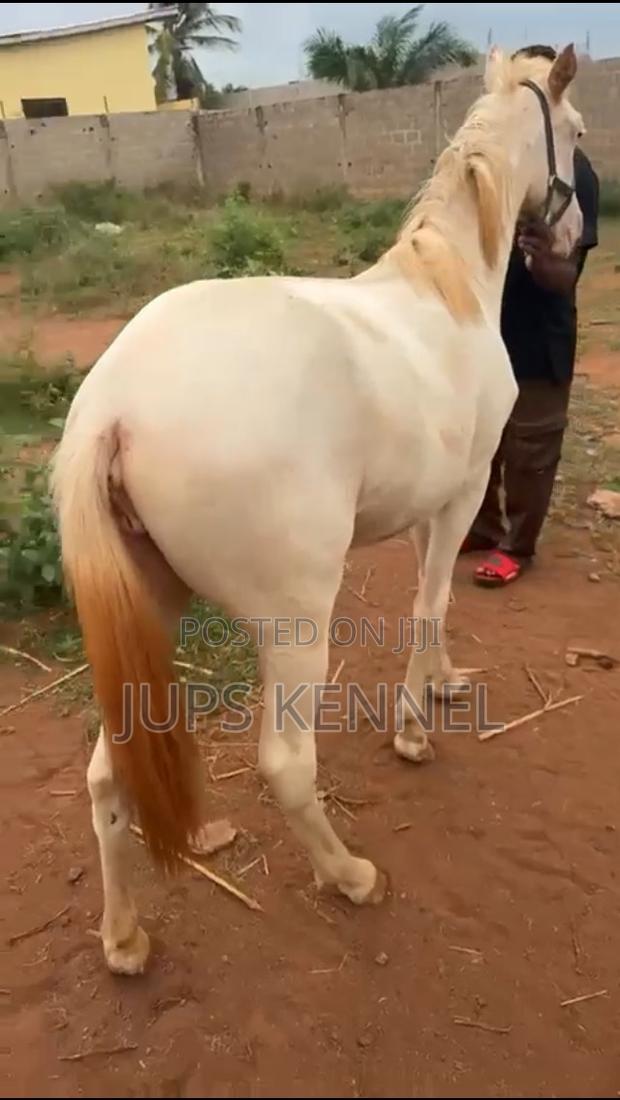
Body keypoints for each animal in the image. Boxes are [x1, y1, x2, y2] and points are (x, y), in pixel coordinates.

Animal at [51, 45, 584, 975]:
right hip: (296, 625)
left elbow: (432, 602)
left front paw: (443, 684)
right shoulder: (462, 494)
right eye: (580, 133)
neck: (449, 288)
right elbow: (432, 602)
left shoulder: (427, 507)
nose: (576, 236)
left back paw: (124, 939)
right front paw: (413, 730)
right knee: (286, 765)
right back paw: (350, 875)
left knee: (107, 780)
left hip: (149, 606)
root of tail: (113, 408)